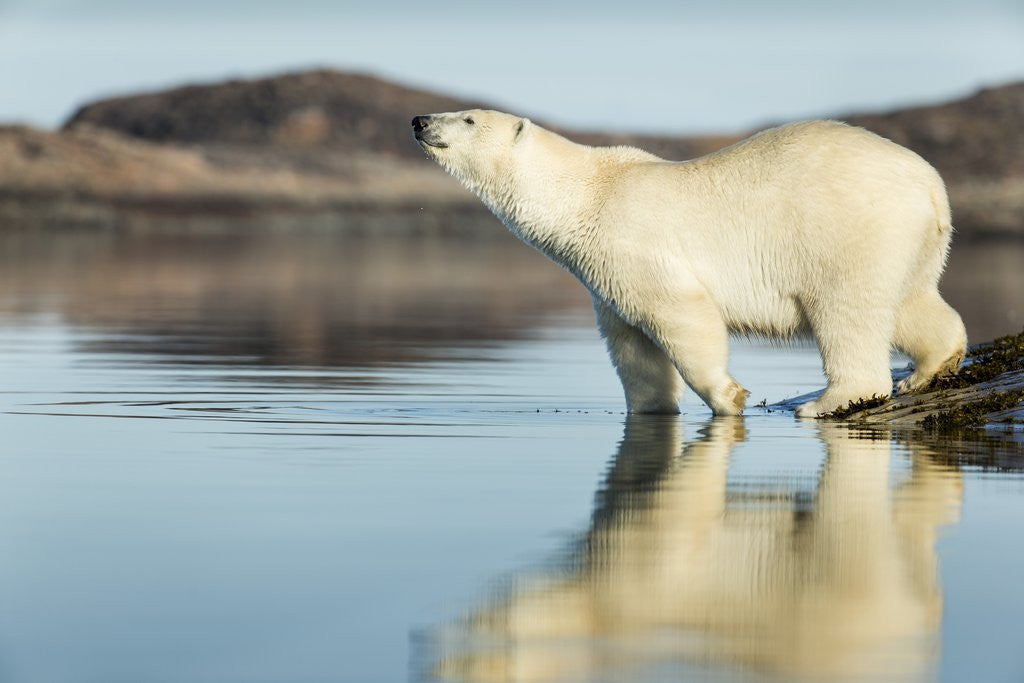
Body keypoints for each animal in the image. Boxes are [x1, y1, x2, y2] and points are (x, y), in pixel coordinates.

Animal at [411, 110, 967, 417]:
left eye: (468, 118)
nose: (419, 121)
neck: (586, 193)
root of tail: (931, 186)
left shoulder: (632, 243)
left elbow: (683, 316)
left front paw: (730, 398)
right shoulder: (602, 278)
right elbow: (632, 348)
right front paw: (651, 409)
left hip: (846, 231)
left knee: (845, 310)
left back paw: (826, 403)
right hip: (913, 240)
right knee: (910, 300)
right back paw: (929, 369)